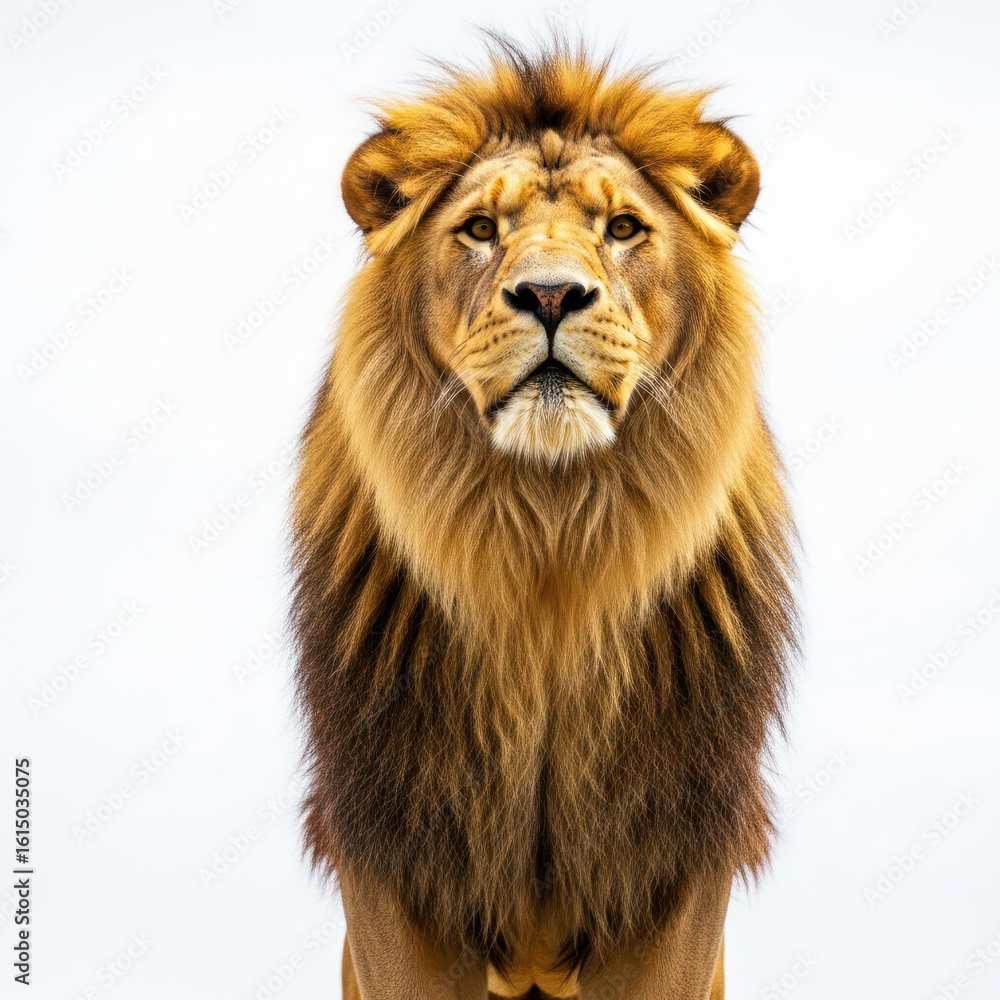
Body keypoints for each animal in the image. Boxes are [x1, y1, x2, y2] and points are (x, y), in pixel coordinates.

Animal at [291, 36, 798, 1000]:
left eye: (624, 228)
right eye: (481, 230)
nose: (553, 296)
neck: (549, 537)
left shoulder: (669, 855)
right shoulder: (397, 847)